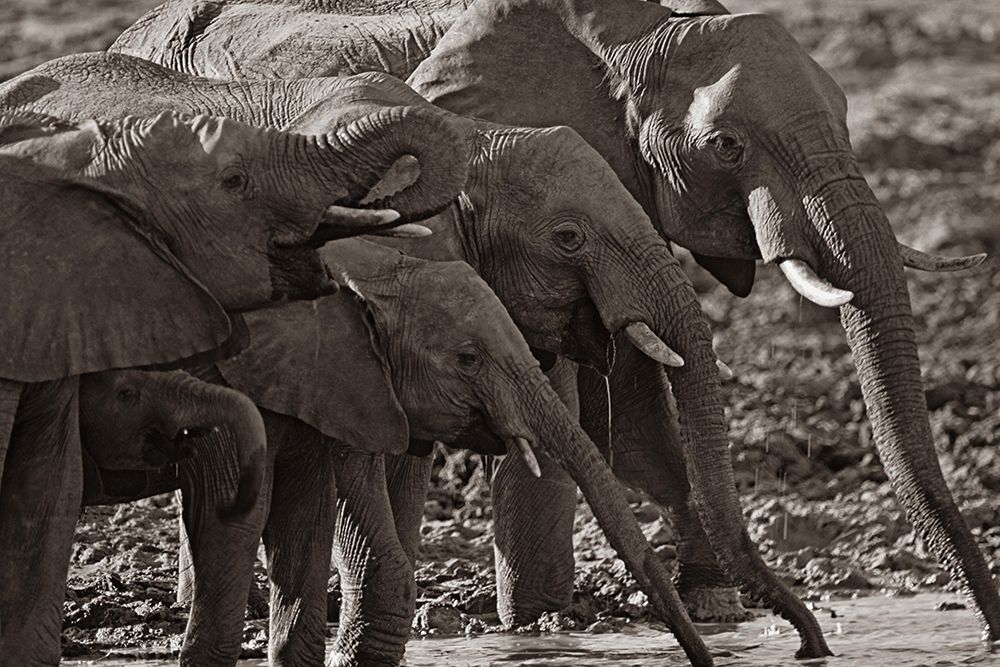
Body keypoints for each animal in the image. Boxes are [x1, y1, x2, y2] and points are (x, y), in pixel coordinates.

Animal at [78, 238, 717, 667]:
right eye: (467, 359)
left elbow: (310, 519)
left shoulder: (333, 387)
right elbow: (235, 511)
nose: (706, 657)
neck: (360, 269)